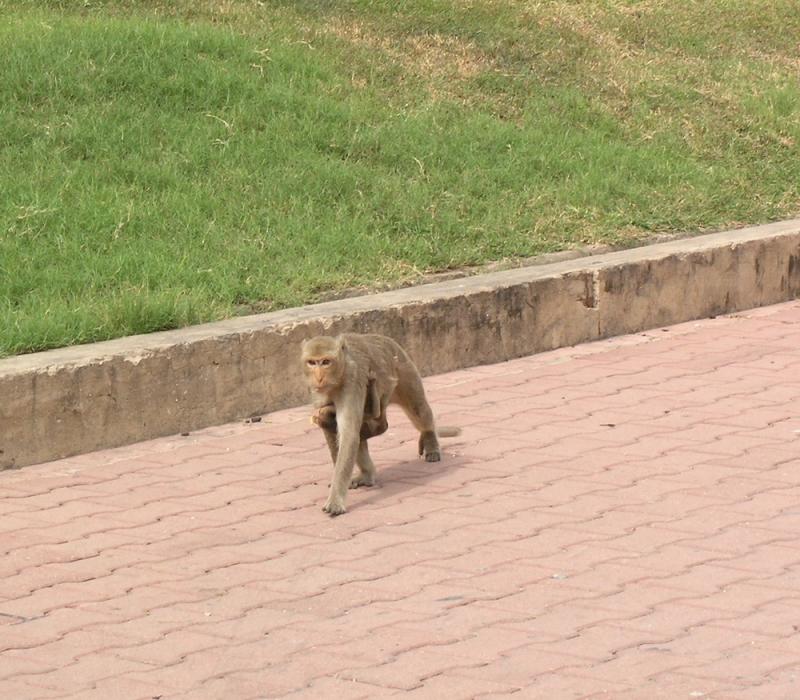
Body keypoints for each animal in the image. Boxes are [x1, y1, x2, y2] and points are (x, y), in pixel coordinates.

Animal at [300, 334, 460, 516]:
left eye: (326, 361)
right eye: (312, 362)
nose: (319, 377)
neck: (339, 376)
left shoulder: (352, 383)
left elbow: (349, 435)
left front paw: (336, 499)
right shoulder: (318, 393)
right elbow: (334, 430)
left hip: (404, 371)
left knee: (419, 411)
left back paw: (430, 440)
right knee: (345, 423)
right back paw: (367, 474)